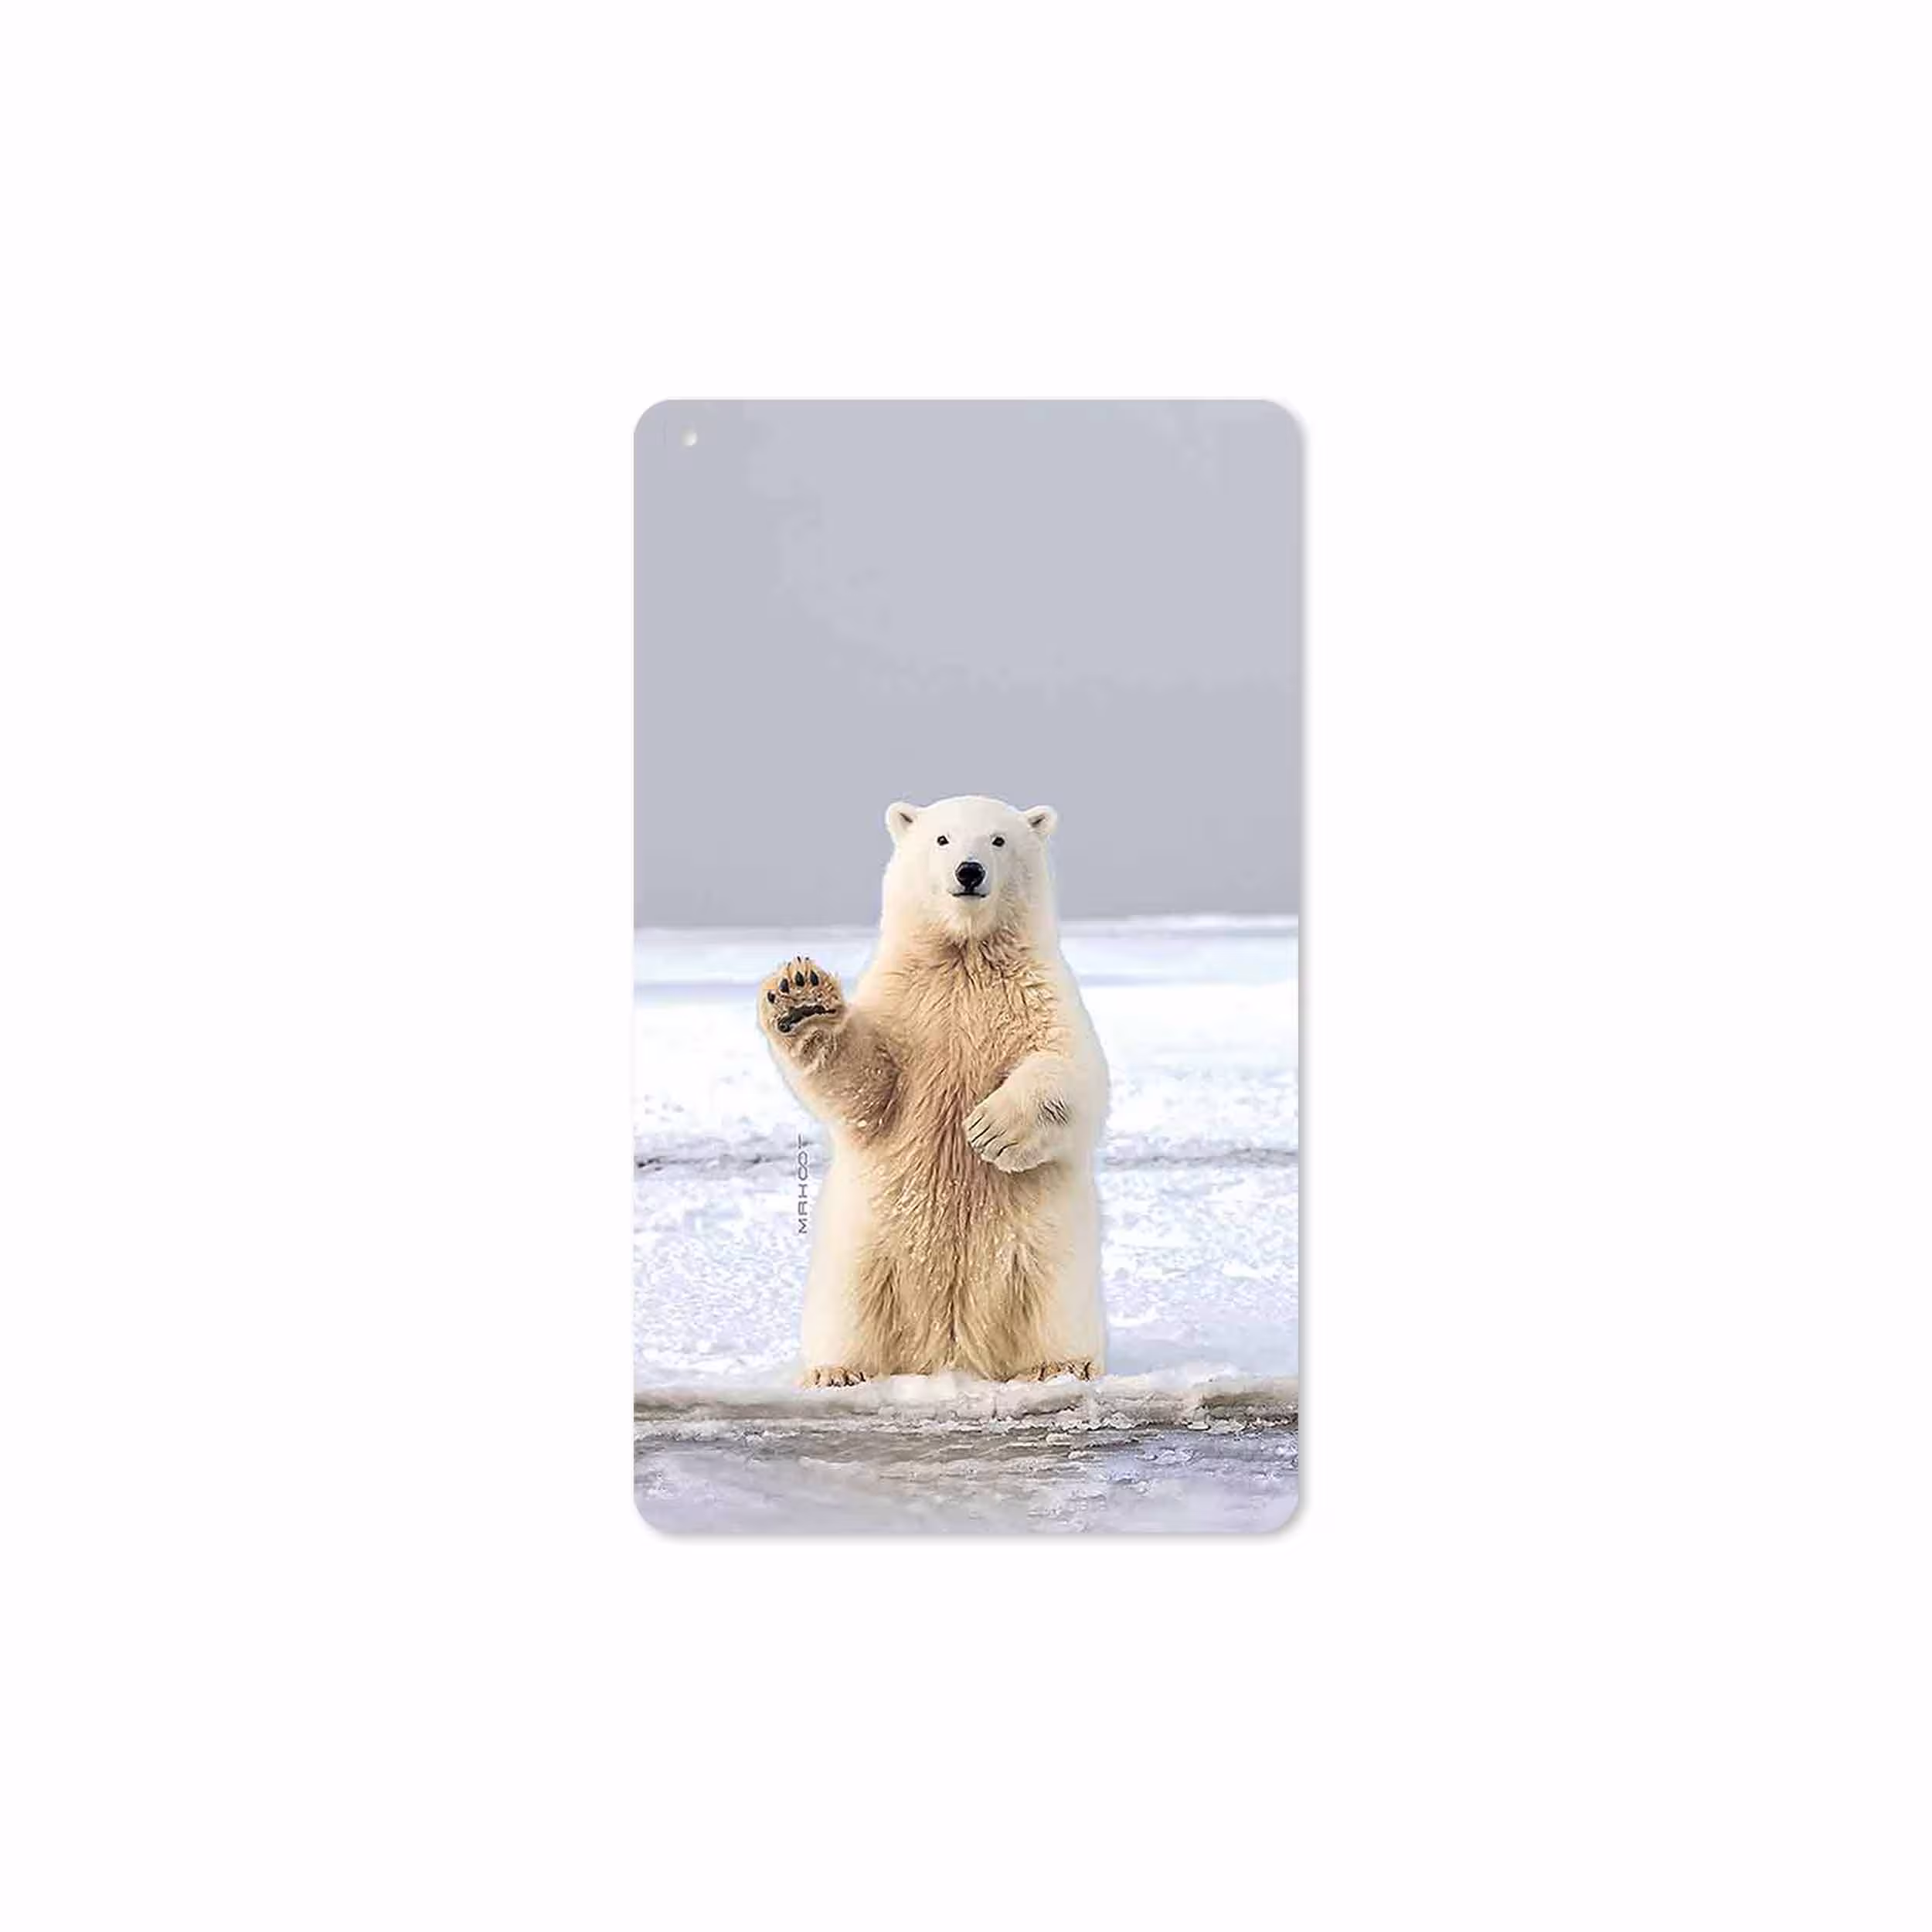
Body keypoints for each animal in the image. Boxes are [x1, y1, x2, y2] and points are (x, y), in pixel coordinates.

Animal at [758, 794, 1109, 1386]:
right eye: (942, 839)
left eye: (998, 840)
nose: (969, 872)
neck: (964, 956)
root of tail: (951, 1352)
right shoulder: (906, 1003)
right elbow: (867, 1085)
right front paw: (800, 999)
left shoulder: (1040, 994)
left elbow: (1074, 1071)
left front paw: (990, 1129)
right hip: (863, 1247)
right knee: (849, 1305)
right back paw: (837, 1371)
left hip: (1049, 1248)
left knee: (1054, 1298)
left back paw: (1061, 1365)